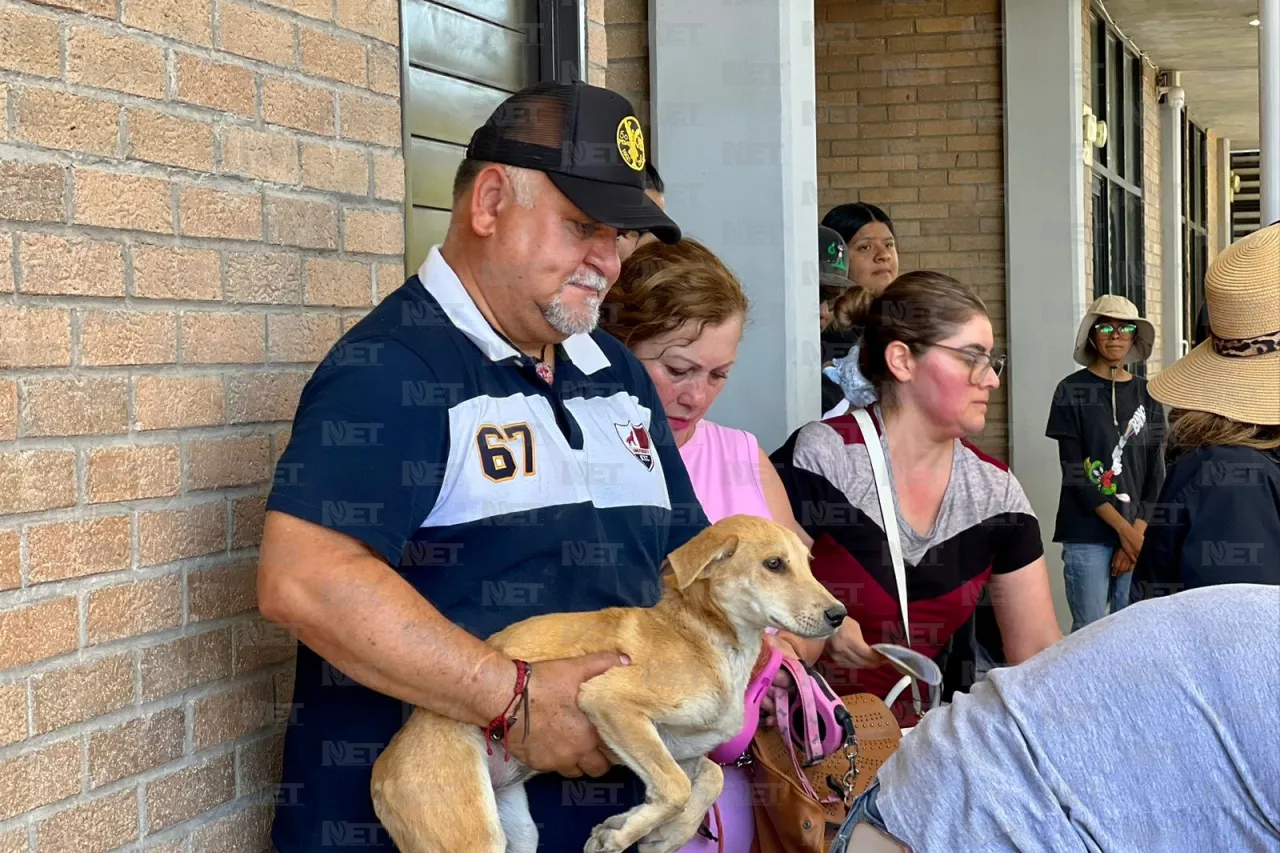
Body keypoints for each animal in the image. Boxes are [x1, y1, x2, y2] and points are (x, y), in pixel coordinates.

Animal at [368, 512, 849, 850]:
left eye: (807, 565)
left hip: (516, 831)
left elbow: (708, 777)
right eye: (774, 564)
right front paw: (622, 834)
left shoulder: (685, 748)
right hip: (471, 837)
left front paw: (662, 833)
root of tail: (381, 769)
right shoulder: (609, 699)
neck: (708, 640)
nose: (839, 615)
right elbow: (675, 787)